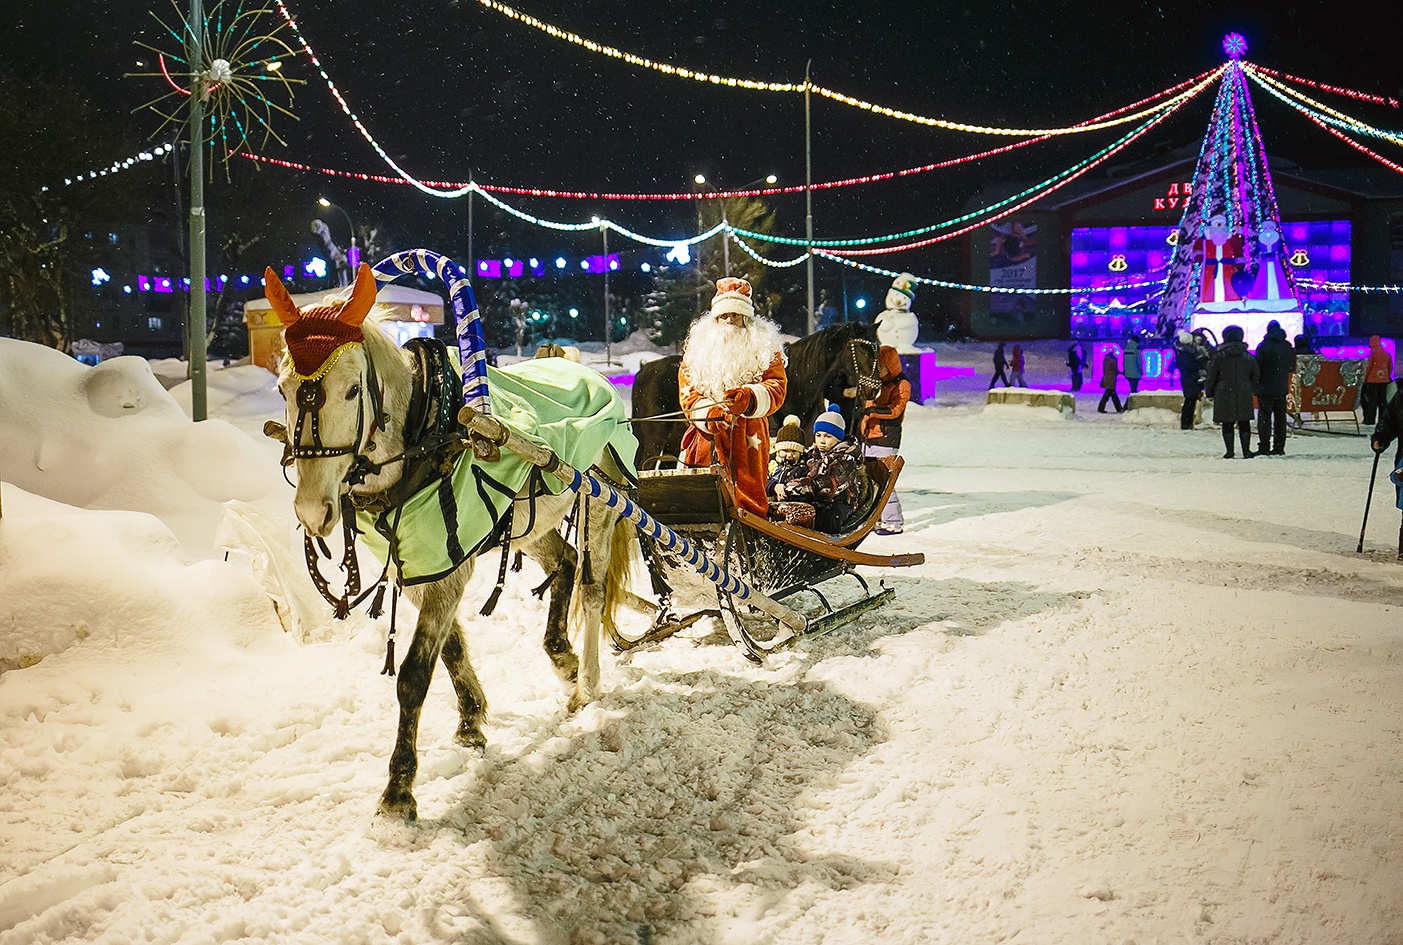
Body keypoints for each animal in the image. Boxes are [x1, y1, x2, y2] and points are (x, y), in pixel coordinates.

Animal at [263, 263, 636, 818]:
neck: (428, 436)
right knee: (566, 561)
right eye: (284, 389)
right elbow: (452, 648)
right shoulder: (423, 564)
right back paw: (562, 657)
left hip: (602, 507)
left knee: (591, 591)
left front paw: (399, 787)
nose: (312, 510)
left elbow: (414, 675)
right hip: (528, 524)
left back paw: (587, 682)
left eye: (352, 391)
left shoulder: (448, 567)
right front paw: (471, 722)